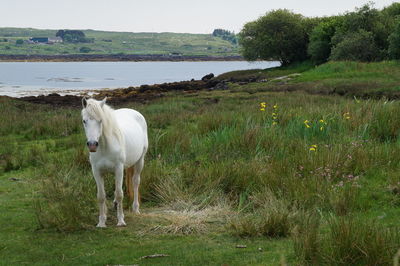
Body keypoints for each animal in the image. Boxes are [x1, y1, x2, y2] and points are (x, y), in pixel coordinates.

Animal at [81, 97, 148, 227]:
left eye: (100, 120)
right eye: (84, 121)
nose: (92, 145)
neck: (105, 147)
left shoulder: (118, 168)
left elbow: (119, 194)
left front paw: (121, 221)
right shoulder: (96, 171)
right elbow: (101, 196)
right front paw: (101, 222)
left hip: (140, 161)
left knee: (135, 182)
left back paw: (135, 208)